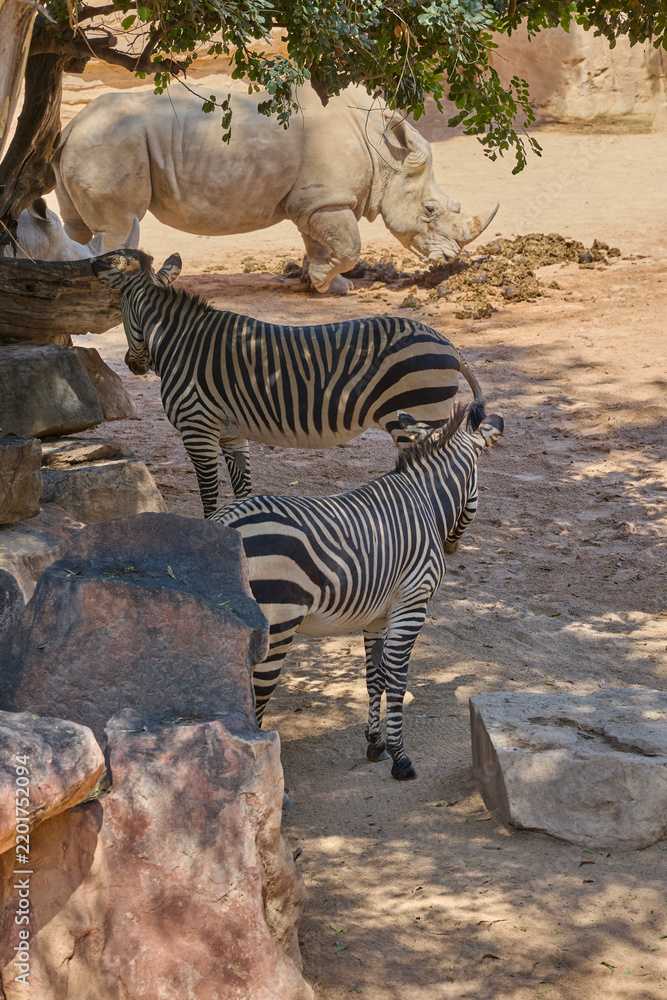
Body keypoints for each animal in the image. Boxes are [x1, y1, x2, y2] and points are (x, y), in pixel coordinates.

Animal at [55, 85, 498, 293]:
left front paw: (324, 286)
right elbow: (349, 246)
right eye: (430, 210)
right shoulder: (326, 200)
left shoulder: (315, 200)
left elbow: (321, 243)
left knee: (79, 229)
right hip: (110, 146)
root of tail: (71, 124)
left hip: (89, 144)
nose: (451, 259)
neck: (384, 152)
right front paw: (324, 281)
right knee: (119, 224)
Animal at [92, 249, 487, 518]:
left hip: (418, 417)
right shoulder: (231, 432)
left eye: (118, 310)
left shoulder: (197, 427)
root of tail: (449, 344)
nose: (132, 364)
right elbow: (242, 490)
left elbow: (208, 494)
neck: (179, 340)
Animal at [213, 404, 504, 780]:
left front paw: (375, 744)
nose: (453, 547)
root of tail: (222, 521)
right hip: (276, 626)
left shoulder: (377, 615)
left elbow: (374, 677)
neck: (424, 501)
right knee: (255, 700)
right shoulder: (412, 603)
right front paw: (400, 758)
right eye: (477, 485)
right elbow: (397, 678)